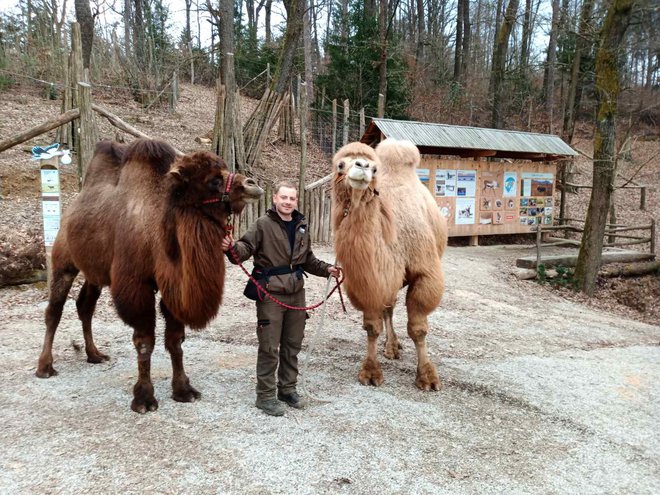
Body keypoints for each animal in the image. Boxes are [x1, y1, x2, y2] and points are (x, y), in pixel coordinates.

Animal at [36, 138, 262, 412]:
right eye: (213, 180)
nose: (252, 184)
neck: (157, 232)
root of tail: (71, 209)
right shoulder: (136, 286)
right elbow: (144, 341)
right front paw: (144, 398)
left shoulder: (172, 287)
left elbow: (175, 340)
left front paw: (183, 390)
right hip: (64, 262)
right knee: (54, 310)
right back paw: (45, 367)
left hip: (95, 273)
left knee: (85, 306)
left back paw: (95, 355)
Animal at [332, 140, 446, 392]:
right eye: (340, 164)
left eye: (375, 169)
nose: (362, 166)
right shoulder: (369, 283)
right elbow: (372, 326)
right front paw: (370, 372)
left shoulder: (426, 273)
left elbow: (418, 329)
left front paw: (427, 377)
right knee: (389, 308)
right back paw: (391, 346)